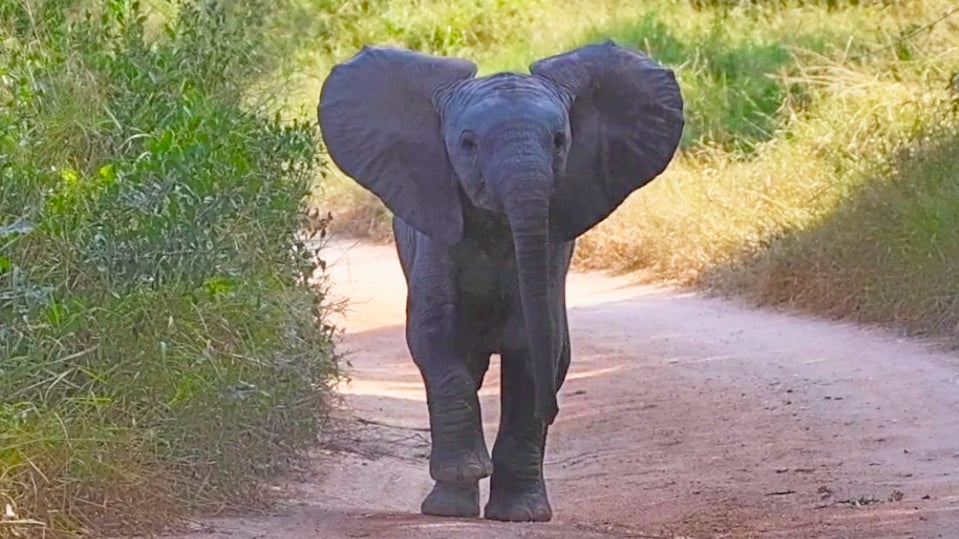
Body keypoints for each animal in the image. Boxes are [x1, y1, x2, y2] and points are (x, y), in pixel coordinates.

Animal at [317, 40, 684, 522]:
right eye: (468, 143)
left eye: (559, 141)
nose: (555, 410)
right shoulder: (434, 231)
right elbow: (436, 335)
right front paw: (467, 475)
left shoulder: (552, 245)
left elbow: (535, 347)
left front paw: (522, 514)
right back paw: (448, 507)